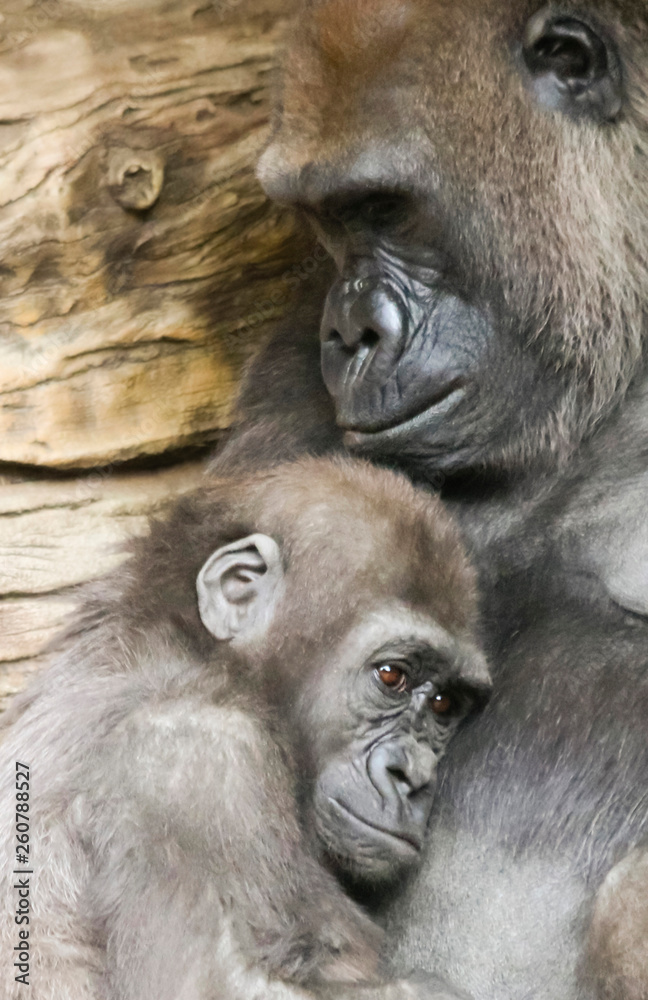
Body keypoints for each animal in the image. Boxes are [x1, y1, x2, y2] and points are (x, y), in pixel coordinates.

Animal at [0, 458, 486, 1000]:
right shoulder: (196, 758)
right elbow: (211, 985)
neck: (197, 651)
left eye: (444, 703)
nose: (413, 776)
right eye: (391, 676)